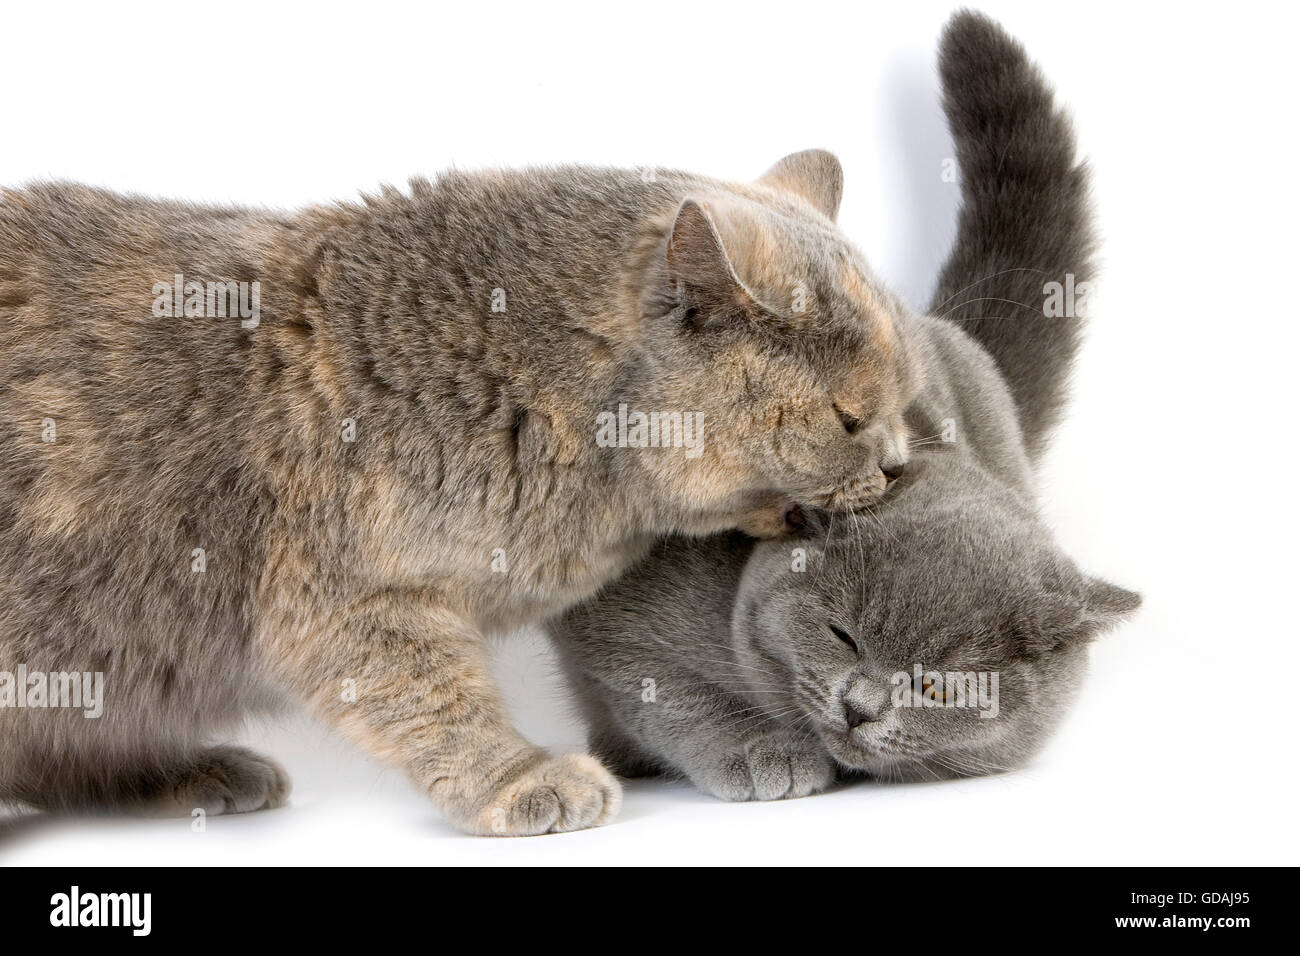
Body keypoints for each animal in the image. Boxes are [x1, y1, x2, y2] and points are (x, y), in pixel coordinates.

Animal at [546, 11, 1138, 806]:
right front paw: (761, 751)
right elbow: (667, 691)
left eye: (937, 687)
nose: (861, 707)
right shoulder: (613, 617)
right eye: (841, 636)